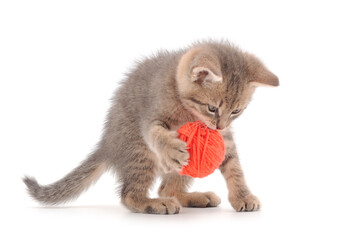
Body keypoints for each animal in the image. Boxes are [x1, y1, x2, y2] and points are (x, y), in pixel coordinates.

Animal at [23, 40, 280, 214]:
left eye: (236, 111)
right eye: (212, 108)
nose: (219, 124)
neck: (189, 111)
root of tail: (107, 143)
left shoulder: (224, 138)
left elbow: (234, 166)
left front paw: (242, 196)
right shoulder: (151, 117)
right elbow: (156, 132)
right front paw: (170, 147)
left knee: (167, 188)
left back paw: (195, 197)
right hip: (139, 151)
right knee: (129, 195)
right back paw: (155, 203)